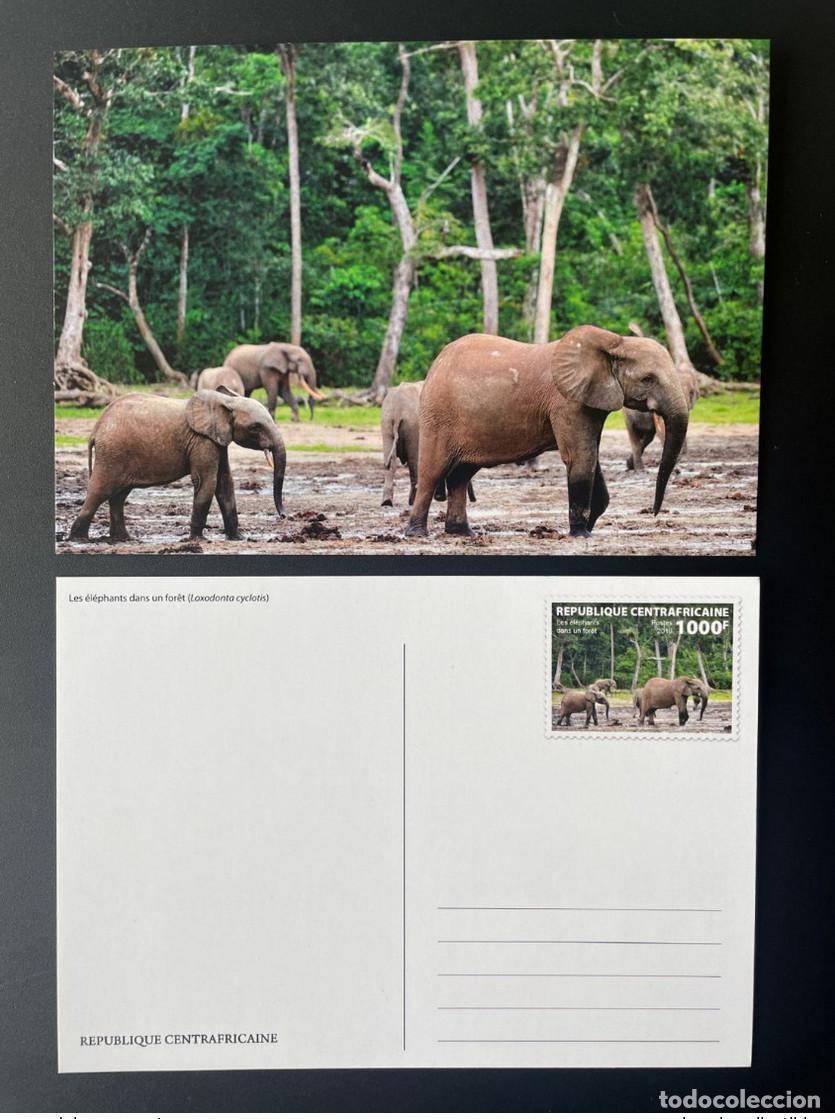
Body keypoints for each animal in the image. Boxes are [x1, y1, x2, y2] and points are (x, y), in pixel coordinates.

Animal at [68, 388, 286, 542]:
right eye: (255, 427)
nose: (284, 516)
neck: (224, 401)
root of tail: (96, 429)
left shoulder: (216, 440)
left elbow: (225, 483)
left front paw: (238, 539)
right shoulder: (202, 440)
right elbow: (207, 482)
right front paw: (198, 540)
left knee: (118, 495)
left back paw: (123, 539)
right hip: (112, 454)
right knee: (99, 491)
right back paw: (78, 540)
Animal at [405, 325, 690, 539]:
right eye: (648, 379)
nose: (653, 512)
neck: (615, 343)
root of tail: (436, 363)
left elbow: (590, 457)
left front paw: (589, 526)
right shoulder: (567, 402)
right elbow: (581, 459)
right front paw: (581, 534)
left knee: (461, 474)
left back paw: (462, 533)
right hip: (438, 415)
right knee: (433, 471)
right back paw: (417, 534)